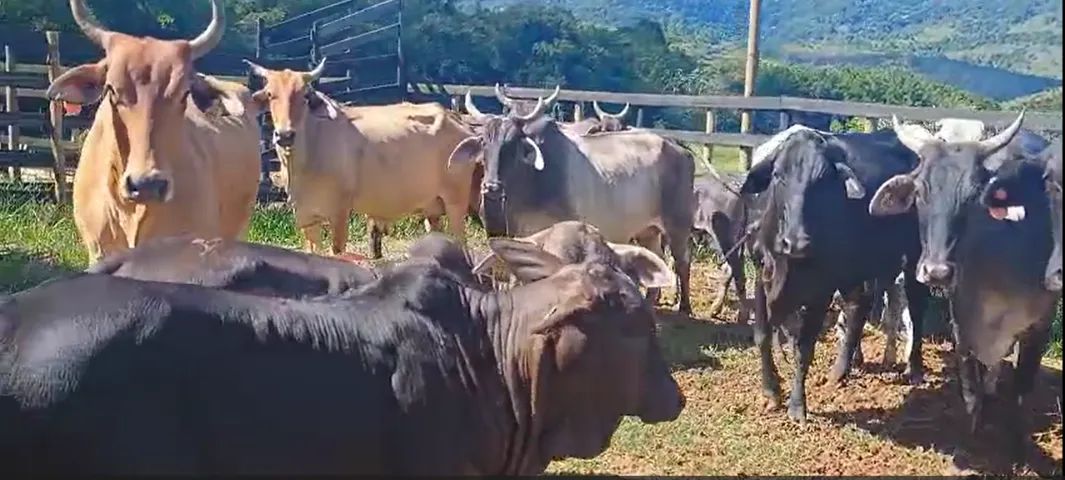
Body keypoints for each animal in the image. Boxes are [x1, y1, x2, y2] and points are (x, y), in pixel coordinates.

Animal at [244, 59, 477, 259]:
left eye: (303, 95)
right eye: (270, 94)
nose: (285, 135)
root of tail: (457, 119)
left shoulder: (339, 211)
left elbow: (337, 251)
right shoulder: (305, 216)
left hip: (456, 201)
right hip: (432, 207)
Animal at [451, 90, 696, 313]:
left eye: (512, 145)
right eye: (484, 142)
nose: (490, 187)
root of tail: (680, 149)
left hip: (678, 225)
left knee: (682, 262)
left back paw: (684, 307)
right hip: (648, 230)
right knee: (657, 257)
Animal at [741, 126, 931, 422]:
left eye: (822, 182)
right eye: (778, 176)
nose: (797, 242)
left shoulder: (822, 288)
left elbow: (804, 347)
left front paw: (797, 406)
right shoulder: (762, 276)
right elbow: (761, 334)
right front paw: (771, 391)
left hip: (912, 259)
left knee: (916, 306)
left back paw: (914, 368)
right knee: (859, 306)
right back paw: (842, 370)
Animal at [869, 113, 1058, 462]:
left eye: (973, 196)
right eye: (921, 193)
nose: (937, 271)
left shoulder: (1041, 324)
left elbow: (1022, 390)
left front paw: (1016, 446)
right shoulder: (963, 318)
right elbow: (971, 386)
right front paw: (974, 435)